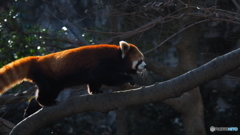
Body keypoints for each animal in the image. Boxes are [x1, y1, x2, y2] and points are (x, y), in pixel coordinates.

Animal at [0, 40, 146, 107]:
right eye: (140, 60)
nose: (145, 66)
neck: (118, 55)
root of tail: (37, 60)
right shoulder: (104, 63)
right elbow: (106, 77)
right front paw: (130, 79)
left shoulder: (94, 71)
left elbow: (94, 79)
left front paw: (94, 91)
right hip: (50, 78)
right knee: (48, 90)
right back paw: (46, 102)